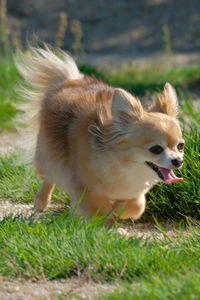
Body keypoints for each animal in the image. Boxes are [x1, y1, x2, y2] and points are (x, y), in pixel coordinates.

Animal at [16, 47, 185, 223]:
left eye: (180, 147)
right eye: (156, 149)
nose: (178, 161)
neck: (122, 165)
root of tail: (69, 81)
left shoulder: (133, 193)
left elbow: (137, 205)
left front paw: (118, 210)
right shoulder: (84, 189)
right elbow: (101, 210)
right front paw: (109, 223)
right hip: (48, 155)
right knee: (48, 178)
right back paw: (41, 202)